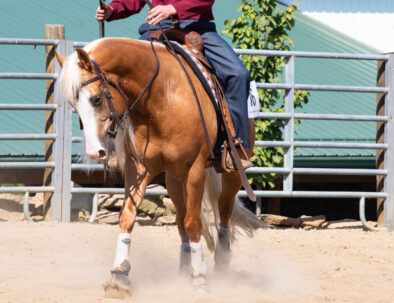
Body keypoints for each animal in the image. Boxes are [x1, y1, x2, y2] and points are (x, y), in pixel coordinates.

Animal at [55, 38, 264, 294]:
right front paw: (119, 274)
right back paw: (184, 269)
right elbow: (128, 217)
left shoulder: (195, 170)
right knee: (181, 219)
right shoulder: (139, 169)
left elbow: (194, 223)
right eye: (73, 105)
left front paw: (200, 278)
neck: (162, 97)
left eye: (96, 99)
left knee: (223, 211)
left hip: (231, 172)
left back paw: (222, 264)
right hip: (173, 180)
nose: (96, 152)